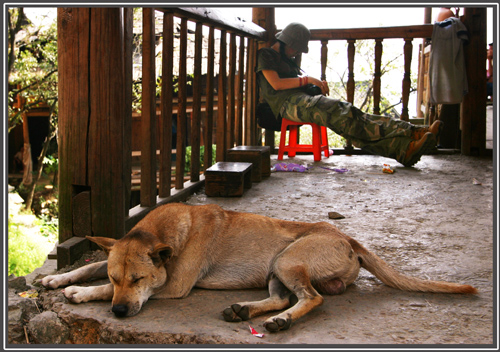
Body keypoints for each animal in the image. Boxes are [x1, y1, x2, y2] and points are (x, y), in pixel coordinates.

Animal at [42, 202, 476, 332]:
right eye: (119, 277)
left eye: (138, 279)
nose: (118, 312)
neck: (160, 232)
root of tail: (348, 238)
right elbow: (91, 269)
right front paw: (60, 277)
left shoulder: (173, 285)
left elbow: (95, 287)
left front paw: (78, 293)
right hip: (275, 271)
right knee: (283, 298)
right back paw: (246, 310)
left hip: (288, 259)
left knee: (312, 299)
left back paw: (281, 322)